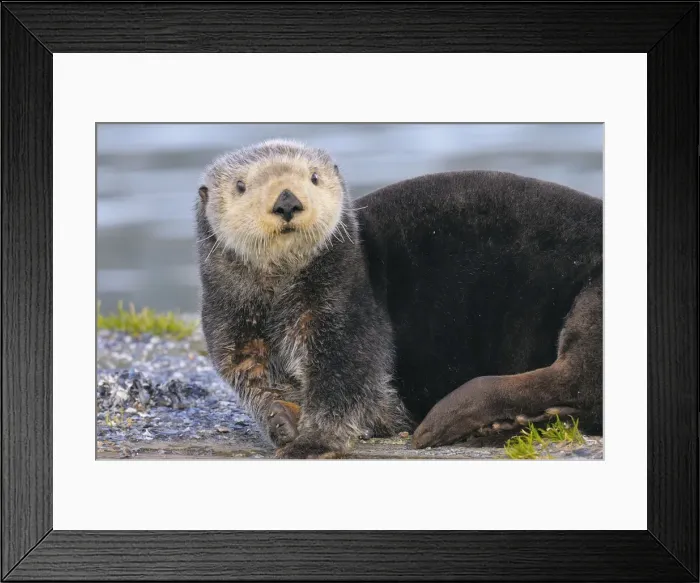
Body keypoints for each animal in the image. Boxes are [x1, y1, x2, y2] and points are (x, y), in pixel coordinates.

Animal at [196, 139, 602, 459]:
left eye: (314, 177)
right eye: (241, 186)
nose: (287, 201)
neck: (279, 298)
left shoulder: (344, 306)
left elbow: (342, 379)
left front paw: (312, 443)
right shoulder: (234, 331)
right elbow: (257, 384)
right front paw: (281, 421)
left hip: (595, 296)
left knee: (573, 377)